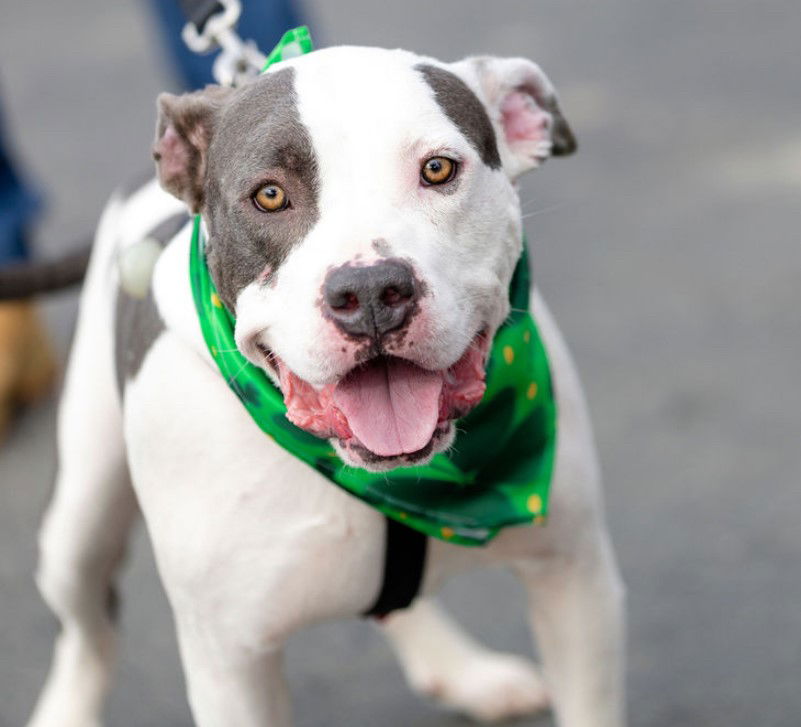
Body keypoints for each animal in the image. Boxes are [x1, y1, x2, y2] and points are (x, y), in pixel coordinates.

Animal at [26, 45, 624, 727]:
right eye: (269, 195)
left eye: (438, 168)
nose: (370, 290)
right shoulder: (230, 665)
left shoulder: (575, 581)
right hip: (78, 523)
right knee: (88, 632)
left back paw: (461, 669)